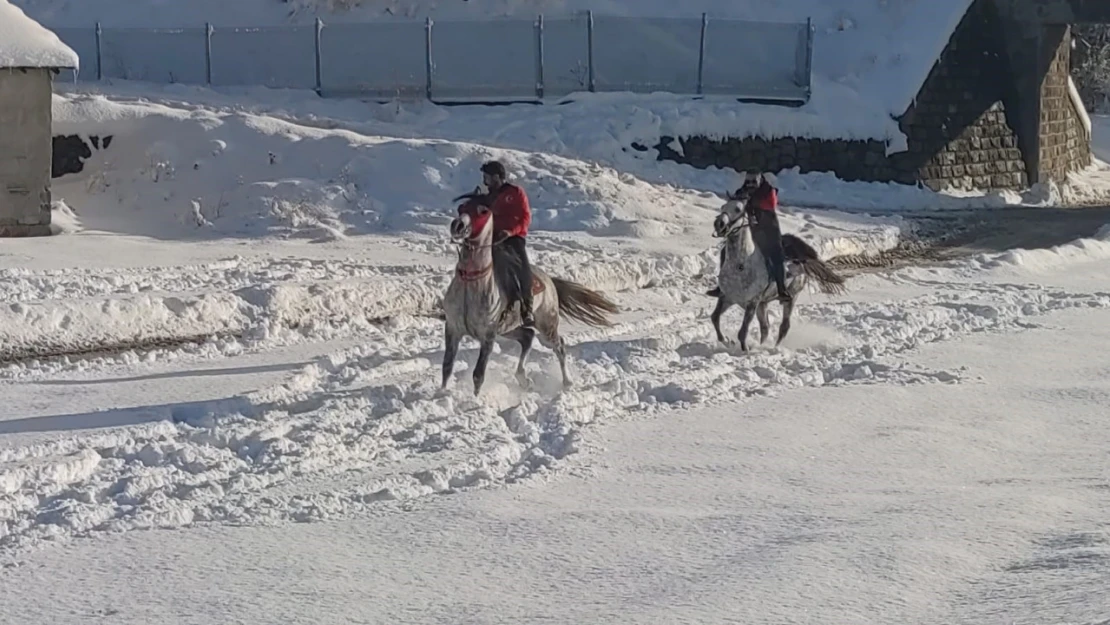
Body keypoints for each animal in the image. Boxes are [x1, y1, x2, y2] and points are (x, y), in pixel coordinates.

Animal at [439, 194, 617, 395]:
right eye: (461, 207)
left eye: (483, 211)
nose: (457, 226)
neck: (472, 287)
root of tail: (549, 280)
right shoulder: (453, 329)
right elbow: (447, 366)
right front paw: (441, 393)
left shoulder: (488, 336)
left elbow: (478, 375)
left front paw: (475, 399)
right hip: (509, 329)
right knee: (528, 337)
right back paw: (523, 379)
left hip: (546, 326)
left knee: (559, 346)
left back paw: (567, 382)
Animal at [705, 193, 843, 353]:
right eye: (723, 207)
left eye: (738, 209)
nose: (719, 224)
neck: (741, 265)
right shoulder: (727, 297)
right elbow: (715, 318)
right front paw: (728, 341)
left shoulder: (752, 302)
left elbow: (742, 332)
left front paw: (745, 349)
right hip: (763, 304)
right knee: (765, 327)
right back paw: (762, 345)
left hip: (791, 298)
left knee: (784, 326)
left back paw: (773, 348)